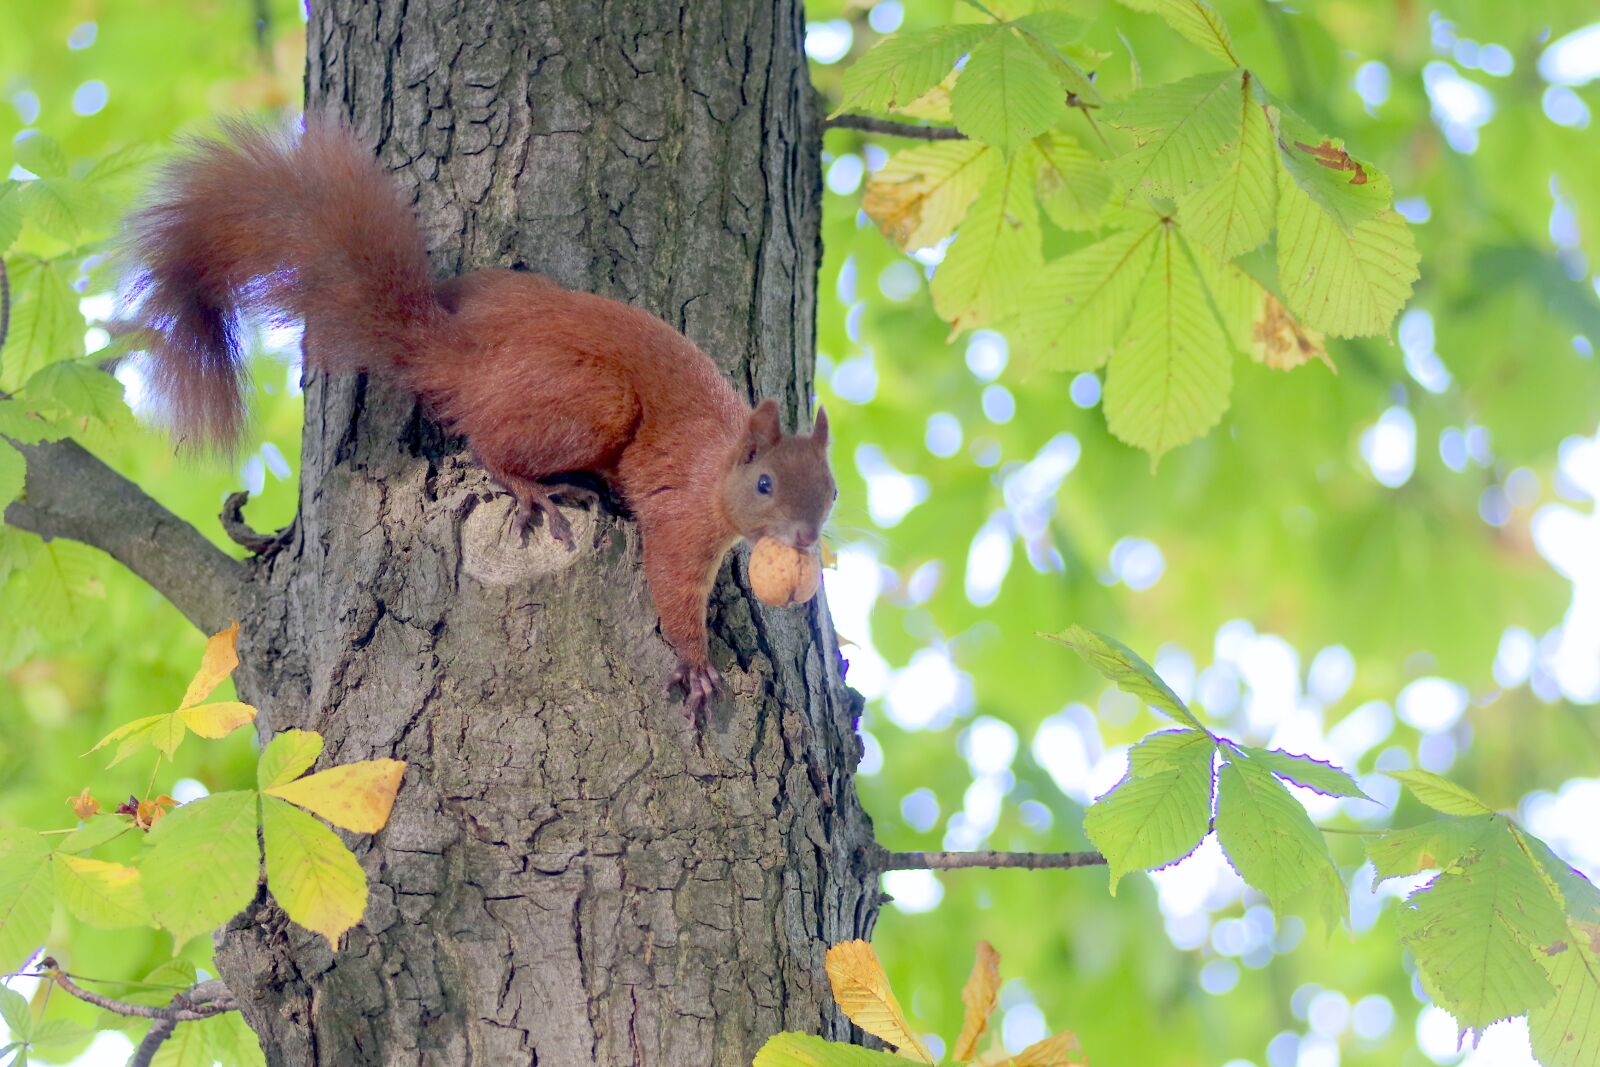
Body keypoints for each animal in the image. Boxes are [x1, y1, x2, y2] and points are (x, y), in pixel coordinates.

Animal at [124, 119, 837, 718]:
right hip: (593, 405)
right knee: (490, 444)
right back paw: (535, 490)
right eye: (765, 484)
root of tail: (468, 360)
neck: (721, 461)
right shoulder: (681, 514)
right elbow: (672, 585)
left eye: (830, 493)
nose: (806, 539)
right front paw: (696, 666)